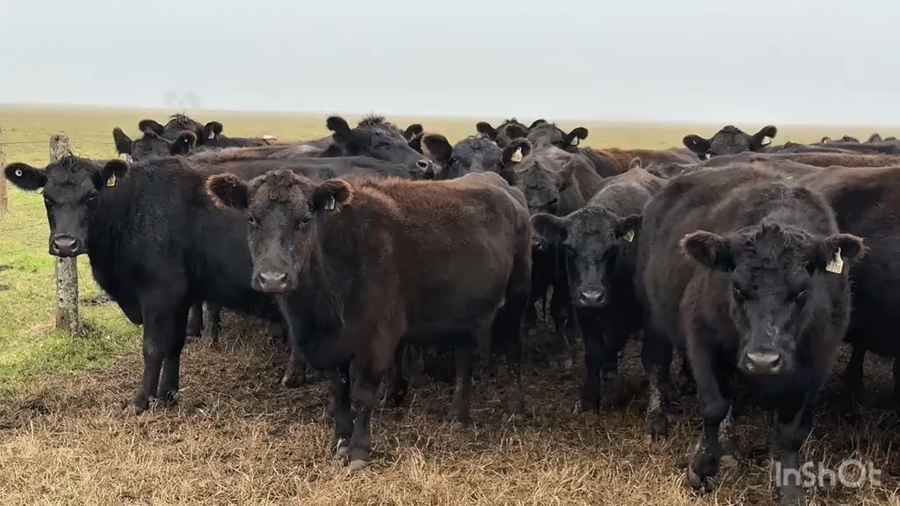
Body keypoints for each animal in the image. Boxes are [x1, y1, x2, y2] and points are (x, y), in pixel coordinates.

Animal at [3, 156, 297, 413]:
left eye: (91, 196)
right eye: (46, 197)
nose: (65, 243)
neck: (133, 211)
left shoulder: (159, 294)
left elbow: (153, 348)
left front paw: (140, 401)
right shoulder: (180, 299)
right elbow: (174, 344)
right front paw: (168, 393)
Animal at [204, 169, 532, 471]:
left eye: (305, 220)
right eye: (252, 219)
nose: (273, 278)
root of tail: (499, 182)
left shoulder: (376, 341)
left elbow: (362, 396)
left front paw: (359, 450)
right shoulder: (331, 347)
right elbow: (339, 393)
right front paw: (340, 440)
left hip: (516, 299)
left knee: (514, 352)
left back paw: (515, 408)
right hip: (463, 314)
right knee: (464, 362)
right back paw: (457, 416)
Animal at [531, 169, 664, 411]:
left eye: (611, 248)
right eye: (570, 249)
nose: (592, 296)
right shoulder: (584, 310)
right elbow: (594, 352)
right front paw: (590, 398)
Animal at [636, 163, 864, 505]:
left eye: (802, 290)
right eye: (737, 287)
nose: (763, 361)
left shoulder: (817, 362)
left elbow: (790, 431)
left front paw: (790, 487)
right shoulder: (701, 335)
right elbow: (714, 406)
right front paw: (701, 469)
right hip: (653, 317)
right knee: (656, 366)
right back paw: (657, 421)